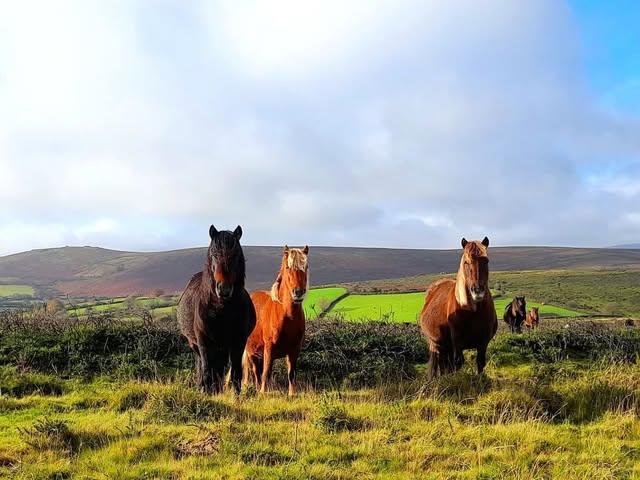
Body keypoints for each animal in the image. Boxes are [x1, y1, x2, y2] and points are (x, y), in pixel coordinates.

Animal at [176, 225, 256, 395]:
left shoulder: (238, 343)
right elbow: (207, 372)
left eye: (236, 256)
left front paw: (235, 397)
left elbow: (235, 374)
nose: (224, 290)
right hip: (197, 346)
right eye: (214, 255)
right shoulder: (204, 342)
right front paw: (207, 394)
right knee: (202, 368)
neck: (221, 310)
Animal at [244, 245, 309, 395]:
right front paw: (263, 393)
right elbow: (265, 373)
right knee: (256, 372)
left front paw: (292, 394)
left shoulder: (294, 350)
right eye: (288, 267)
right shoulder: (269, 348)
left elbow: (291, 374)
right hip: (252, 352)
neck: (287, 316)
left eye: (306, 266)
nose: (298, 292)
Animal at [419, 237, 497, 376]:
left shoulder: (484, 341)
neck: (473, 311)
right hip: (435, 344)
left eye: (486, 261)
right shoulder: (457, 340)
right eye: (466, 262)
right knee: (439, 362)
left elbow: (480, 362)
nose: (477, 290)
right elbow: (458, 363)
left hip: (446, 346)